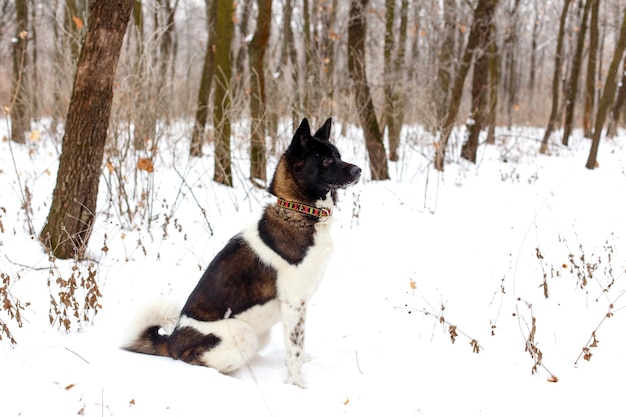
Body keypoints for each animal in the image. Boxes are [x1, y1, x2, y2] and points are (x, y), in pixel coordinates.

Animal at [123, 118, 360, 386]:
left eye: (338, 155)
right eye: (326, 160)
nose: (359, 171)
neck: (299, 211)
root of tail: (172, 341)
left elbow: (294, 346)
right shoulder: (293, 303)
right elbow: (295, 349)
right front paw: (295, 384)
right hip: (243, 334)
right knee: (199, 361)